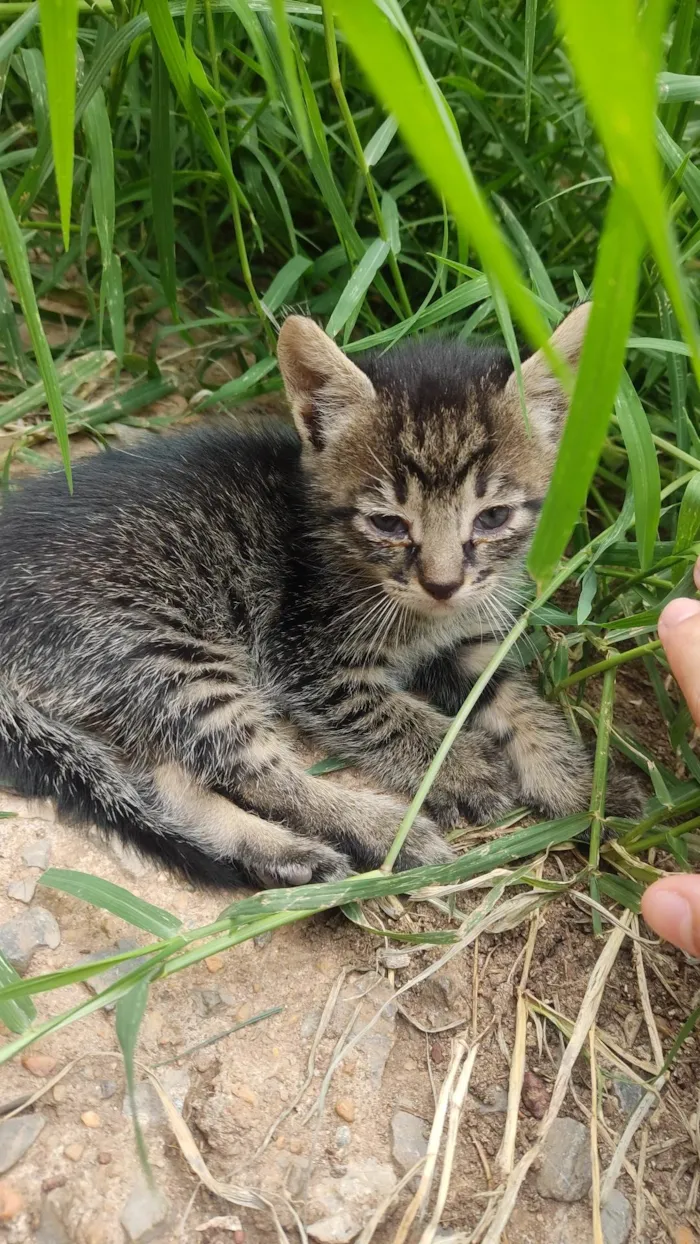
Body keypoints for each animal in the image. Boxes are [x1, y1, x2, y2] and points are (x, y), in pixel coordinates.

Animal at [0, 306, 641, 890]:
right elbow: (393, 717)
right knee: (253, 770)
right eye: (387, 523)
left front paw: (582, 787)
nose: (443, 583)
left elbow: (521, 702)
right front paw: (462, 765)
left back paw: (284, 854)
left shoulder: (468, 644)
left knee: (168, 778)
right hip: (167, 654)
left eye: (493, 517)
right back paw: (379, 829)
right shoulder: (311, 659)